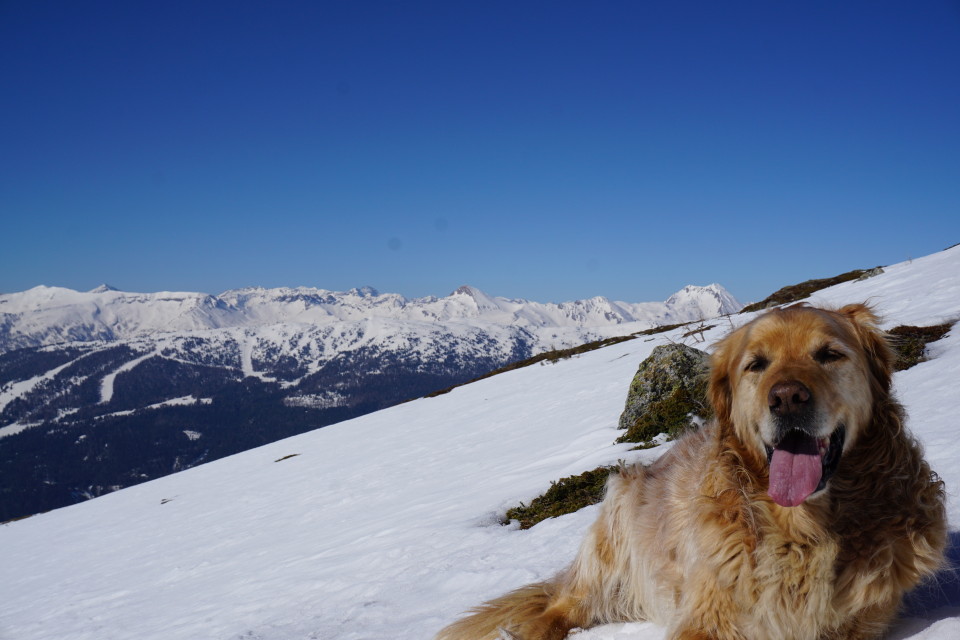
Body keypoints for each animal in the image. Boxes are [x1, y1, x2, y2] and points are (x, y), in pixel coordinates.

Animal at [438, 302, 948, 636]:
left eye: (829, 354)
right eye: (756, 364)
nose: (787, 398)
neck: (803, 530)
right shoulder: (707, 616)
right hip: (612, 534)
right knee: (559, 609)